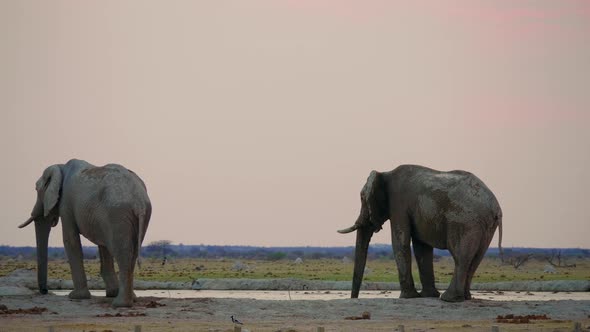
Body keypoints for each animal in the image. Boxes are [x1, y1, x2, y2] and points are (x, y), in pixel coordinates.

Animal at [18, 160, 153, 308]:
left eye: (36, 189)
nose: (45, 291)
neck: (60, 167)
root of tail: (139, 202)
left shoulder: (66, 203)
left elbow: (70, 240)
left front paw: (76, 296)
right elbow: (103, 246)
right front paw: (111, 293)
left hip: (118, 214)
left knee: (122, 253)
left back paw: (120, 304)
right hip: (134, 216)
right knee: (131, 252)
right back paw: (129, 299)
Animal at [338, 165, 504, 302]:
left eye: (362, 198)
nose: (354, 298)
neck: (385, 173)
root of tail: (495, 207)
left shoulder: (398, 204)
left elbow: (400, 240)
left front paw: (408, 297)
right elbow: (421, 247)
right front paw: (427, 295)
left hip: (464, 220)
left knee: (460, 256)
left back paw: (449, 299)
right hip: (485, 225)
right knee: (476, 258)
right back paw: (465, 297)